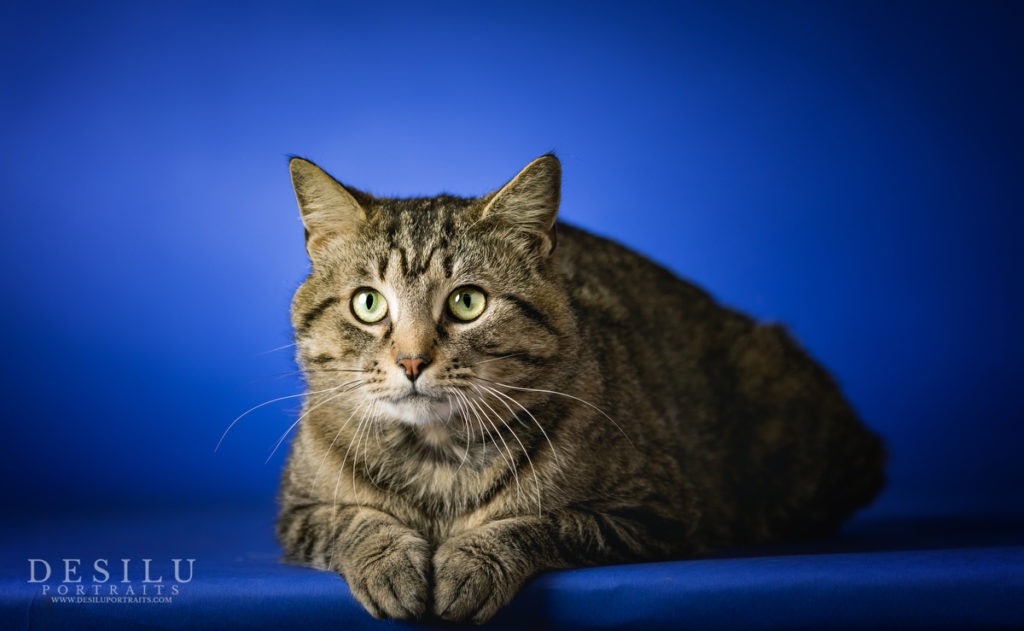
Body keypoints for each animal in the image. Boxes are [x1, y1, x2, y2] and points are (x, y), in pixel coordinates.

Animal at [276, 153, 884, 622]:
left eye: (467, 302)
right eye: (368, 303)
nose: (411, 360)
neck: (437, 463)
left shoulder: (652, 513)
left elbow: (538, 523)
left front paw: (471, 560)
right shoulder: (297, 512)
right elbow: (353, 521)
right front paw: (391, 562)